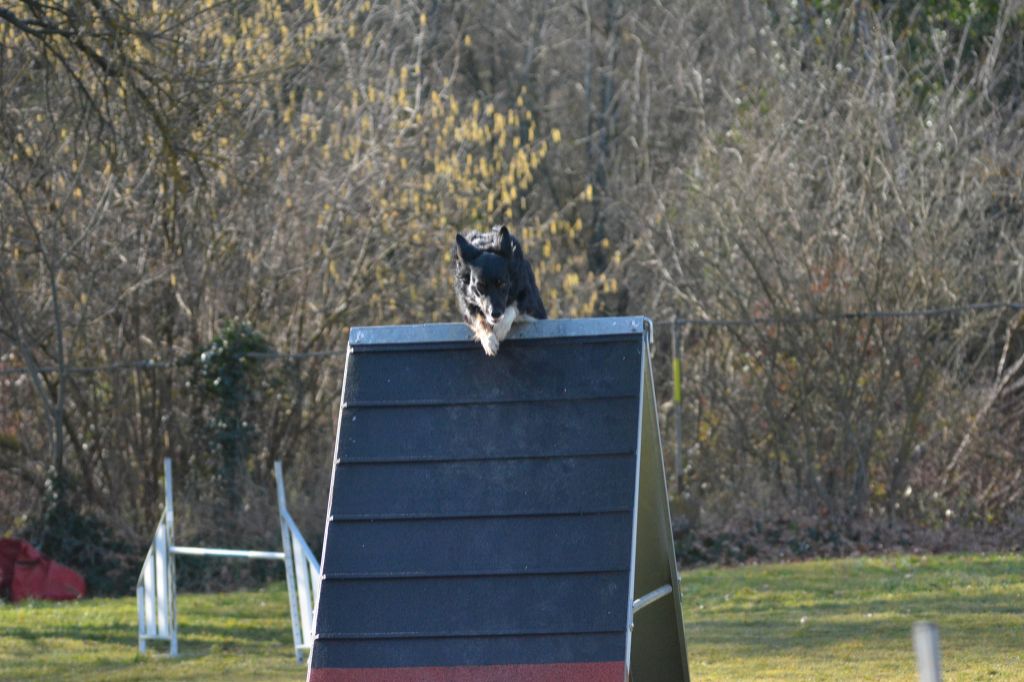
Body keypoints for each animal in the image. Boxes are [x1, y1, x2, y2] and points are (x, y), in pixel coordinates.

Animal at [454, 227, 548, 358]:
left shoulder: (532, 305)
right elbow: (479, 319)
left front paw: (499, 330)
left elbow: (513, 306)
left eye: (502, 284)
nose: (495, 314)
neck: (485, 246)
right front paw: (489, 340)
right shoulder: (467, 305)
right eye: (480, 286)